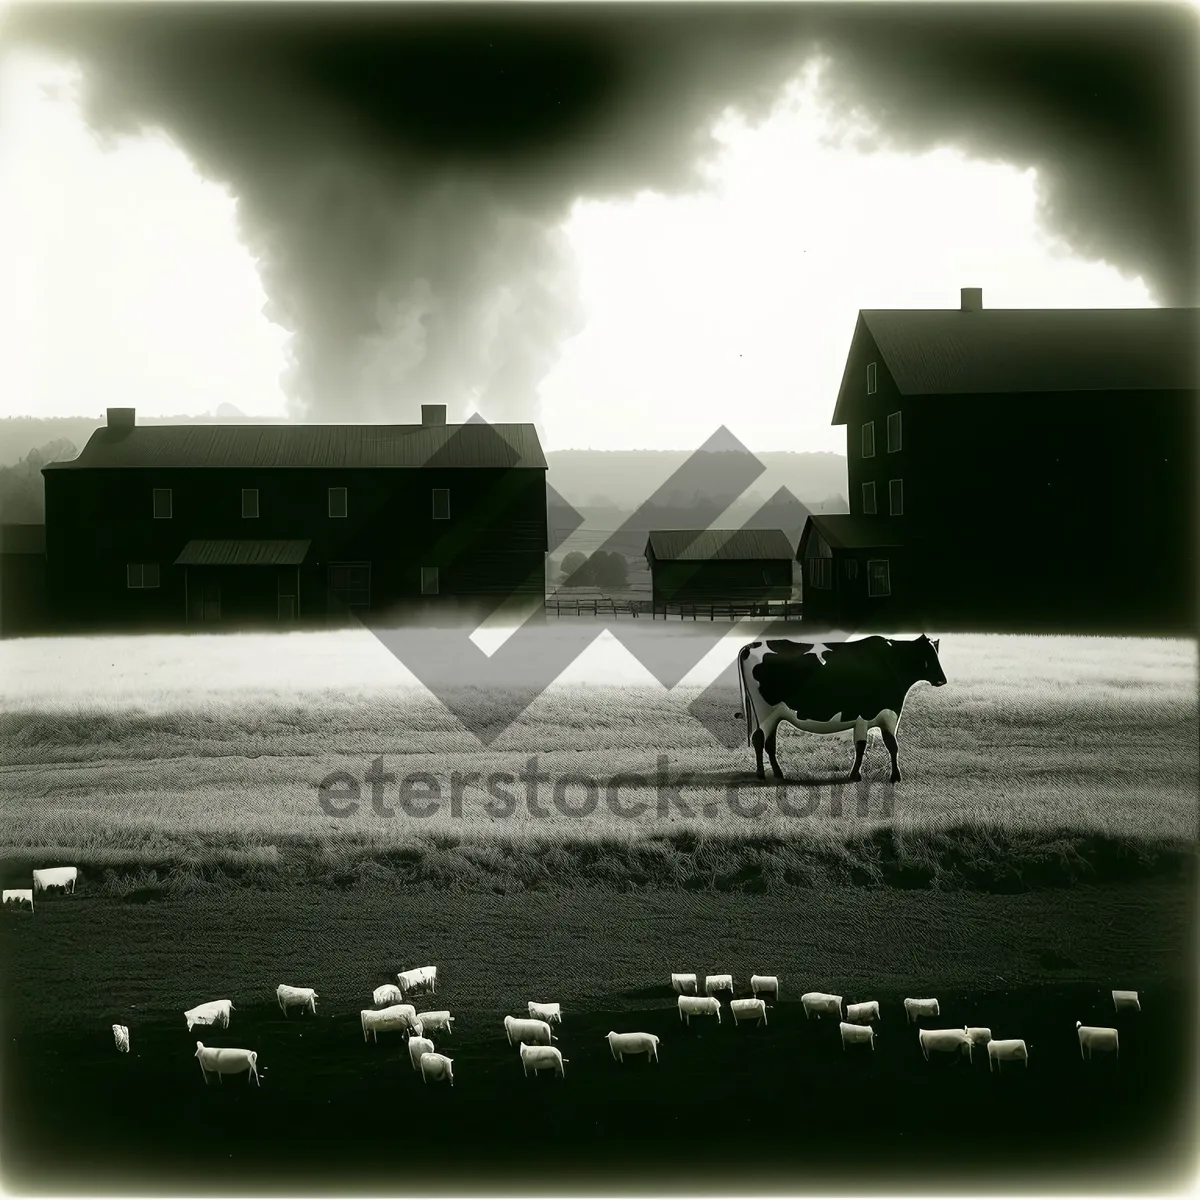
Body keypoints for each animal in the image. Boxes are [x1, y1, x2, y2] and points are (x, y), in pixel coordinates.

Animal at [729, 633, 945, 782]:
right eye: (926, 657)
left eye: (936, 654)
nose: (942, 680)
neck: (890, 662)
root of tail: (752, 645)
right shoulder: (880, 715)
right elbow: (879, 745)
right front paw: (889, 776)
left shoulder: (883, 715)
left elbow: (880, 745)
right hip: (765, 711)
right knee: (760, 739)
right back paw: (764, 773)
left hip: (771, 715)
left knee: (766, 741)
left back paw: (774, 772)